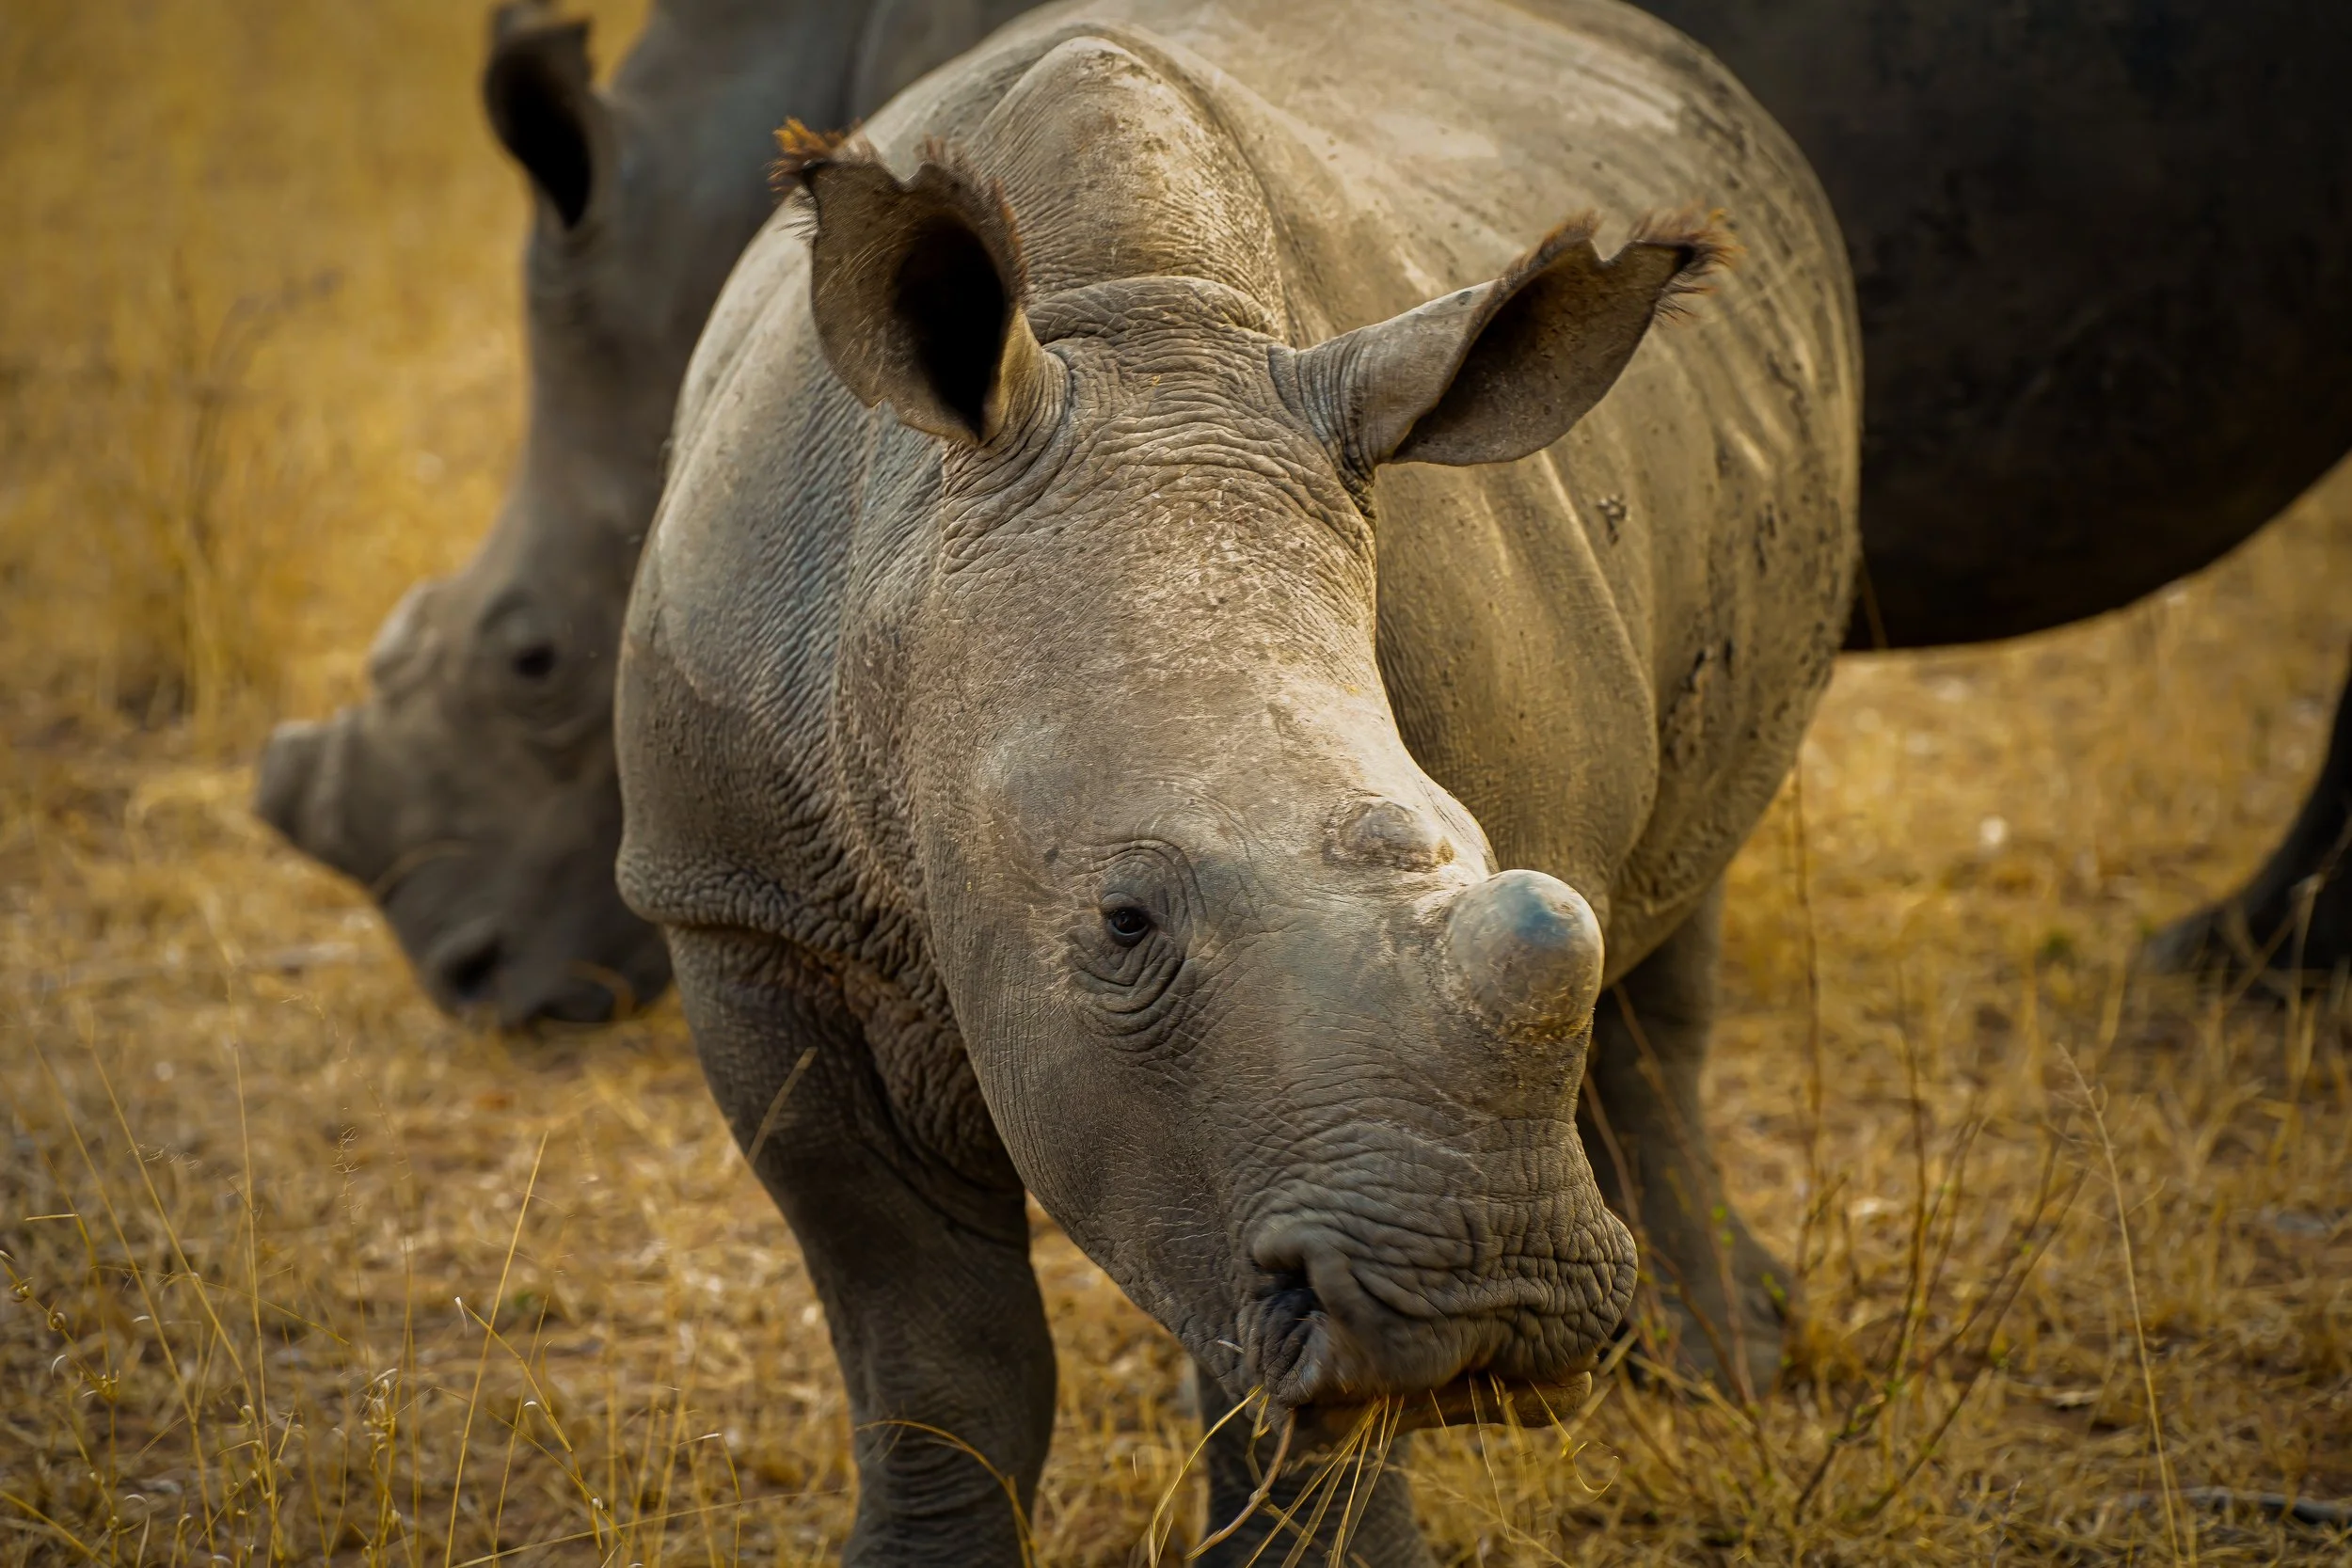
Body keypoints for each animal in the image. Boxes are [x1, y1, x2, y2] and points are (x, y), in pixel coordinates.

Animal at [613, 0, 1858, 1558]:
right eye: (1123, 920)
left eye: (1496, 854)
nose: (1486, 1297)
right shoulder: (748, 908)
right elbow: (937, 1357)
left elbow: (1287, 1399)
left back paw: (1719, 1369)